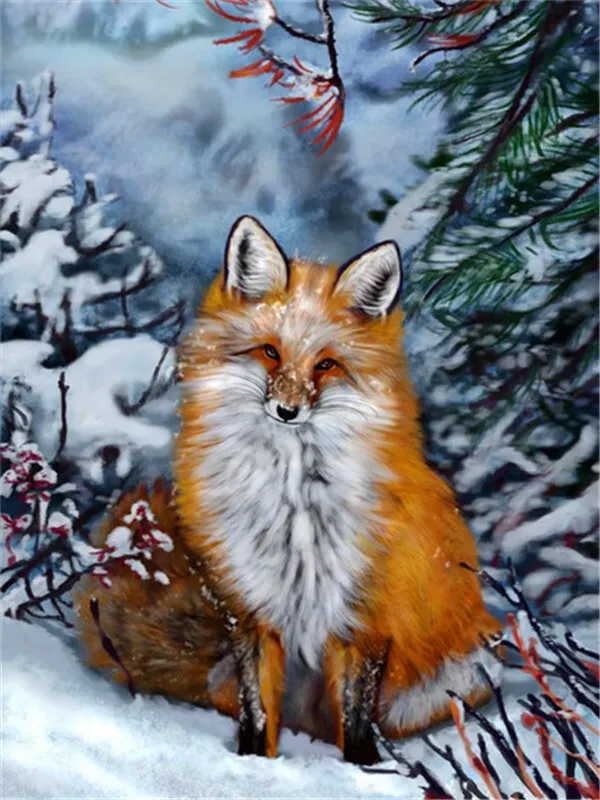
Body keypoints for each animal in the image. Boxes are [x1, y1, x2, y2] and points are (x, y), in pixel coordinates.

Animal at [74, 215, 504, 765]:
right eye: (270, 351)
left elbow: (356, 726)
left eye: (326, 365)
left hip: (463, 673)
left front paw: (362, 773)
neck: (293, 504)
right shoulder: (251, 613)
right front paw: (255, 767)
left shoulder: (363, 620)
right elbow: (258, 717)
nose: (287, 411)